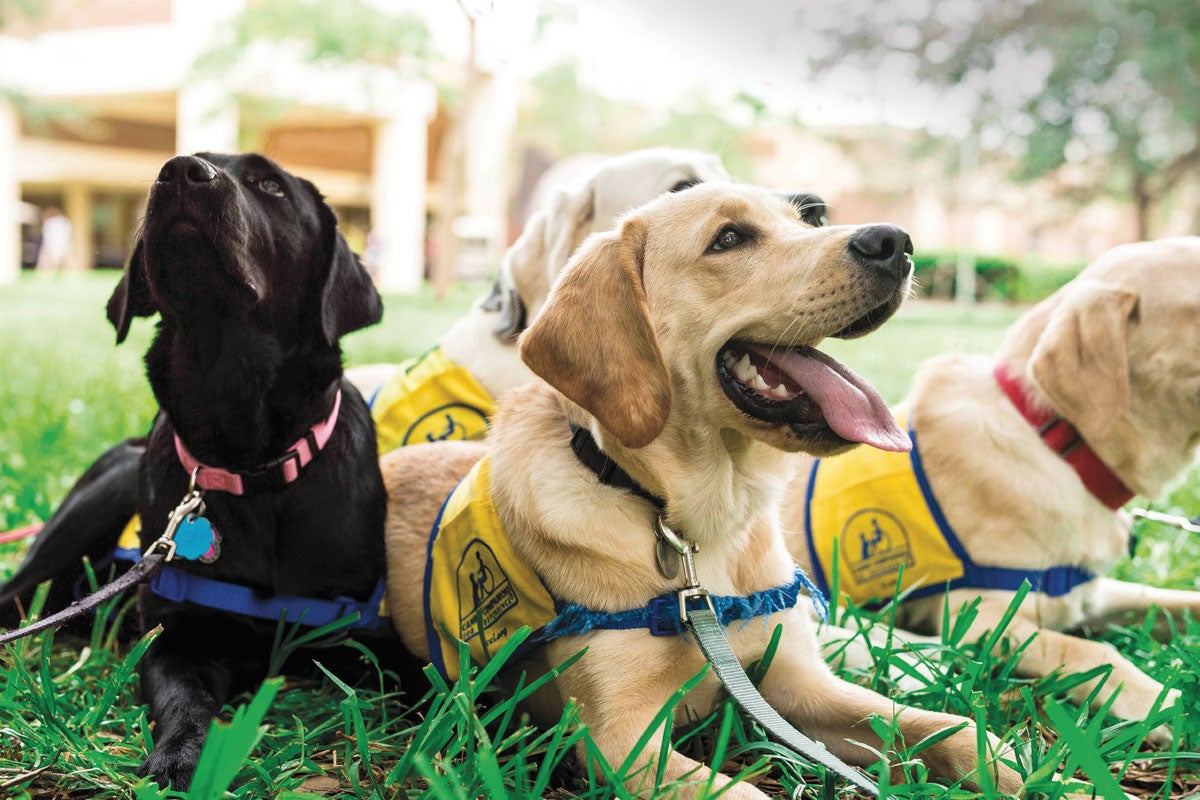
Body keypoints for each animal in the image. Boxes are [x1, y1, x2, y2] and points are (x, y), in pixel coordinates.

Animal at [384, 184, 1022, 796]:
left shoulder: (796, 685)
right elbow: (743, 795)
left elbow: (944, 727)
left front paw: (1016, 768)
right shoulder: (619, 739)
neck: (697, 531)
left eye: (810, 218)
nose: (895, 242)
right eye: (730, 238)